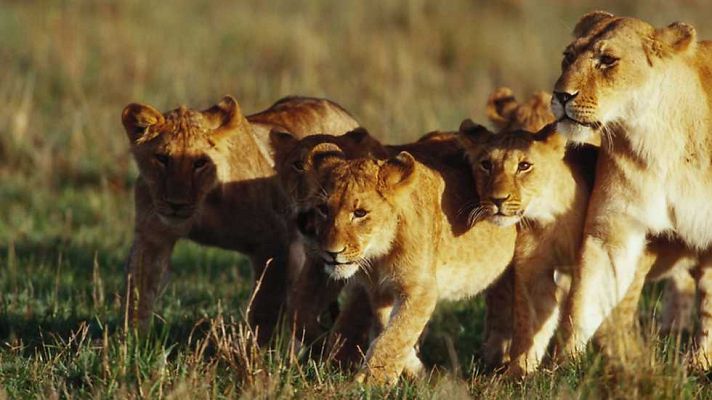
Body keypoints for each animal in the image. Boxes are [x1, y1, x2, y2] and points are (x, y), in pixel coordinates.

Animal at [121, 94, 359, 344]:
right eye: (162, 158)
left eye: (199, 163)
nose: (176, 204)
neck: (204, 203)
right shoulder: (152, 238)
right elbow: (138, 296)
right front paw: (133, 345)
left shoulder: (274, 243)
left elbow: (264, 307)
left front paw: (257, 349)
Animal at [289, 133, 517, 384]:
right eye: (323, 209)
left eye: (360, 213)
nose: (331, 251)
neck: (378, 256)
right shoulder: (379, 292)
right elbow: (389, 330)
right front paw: (415, 369)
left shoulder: (420, 289)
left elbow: (396, 334)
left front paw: (370, 381)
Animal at [550, 11, 712, 367]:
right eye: (567, 57)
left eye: (608, 61)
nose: (561, 96)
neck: (658, 138)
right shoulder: (614, 229)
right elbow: (586, 299)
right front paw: (563, 366)